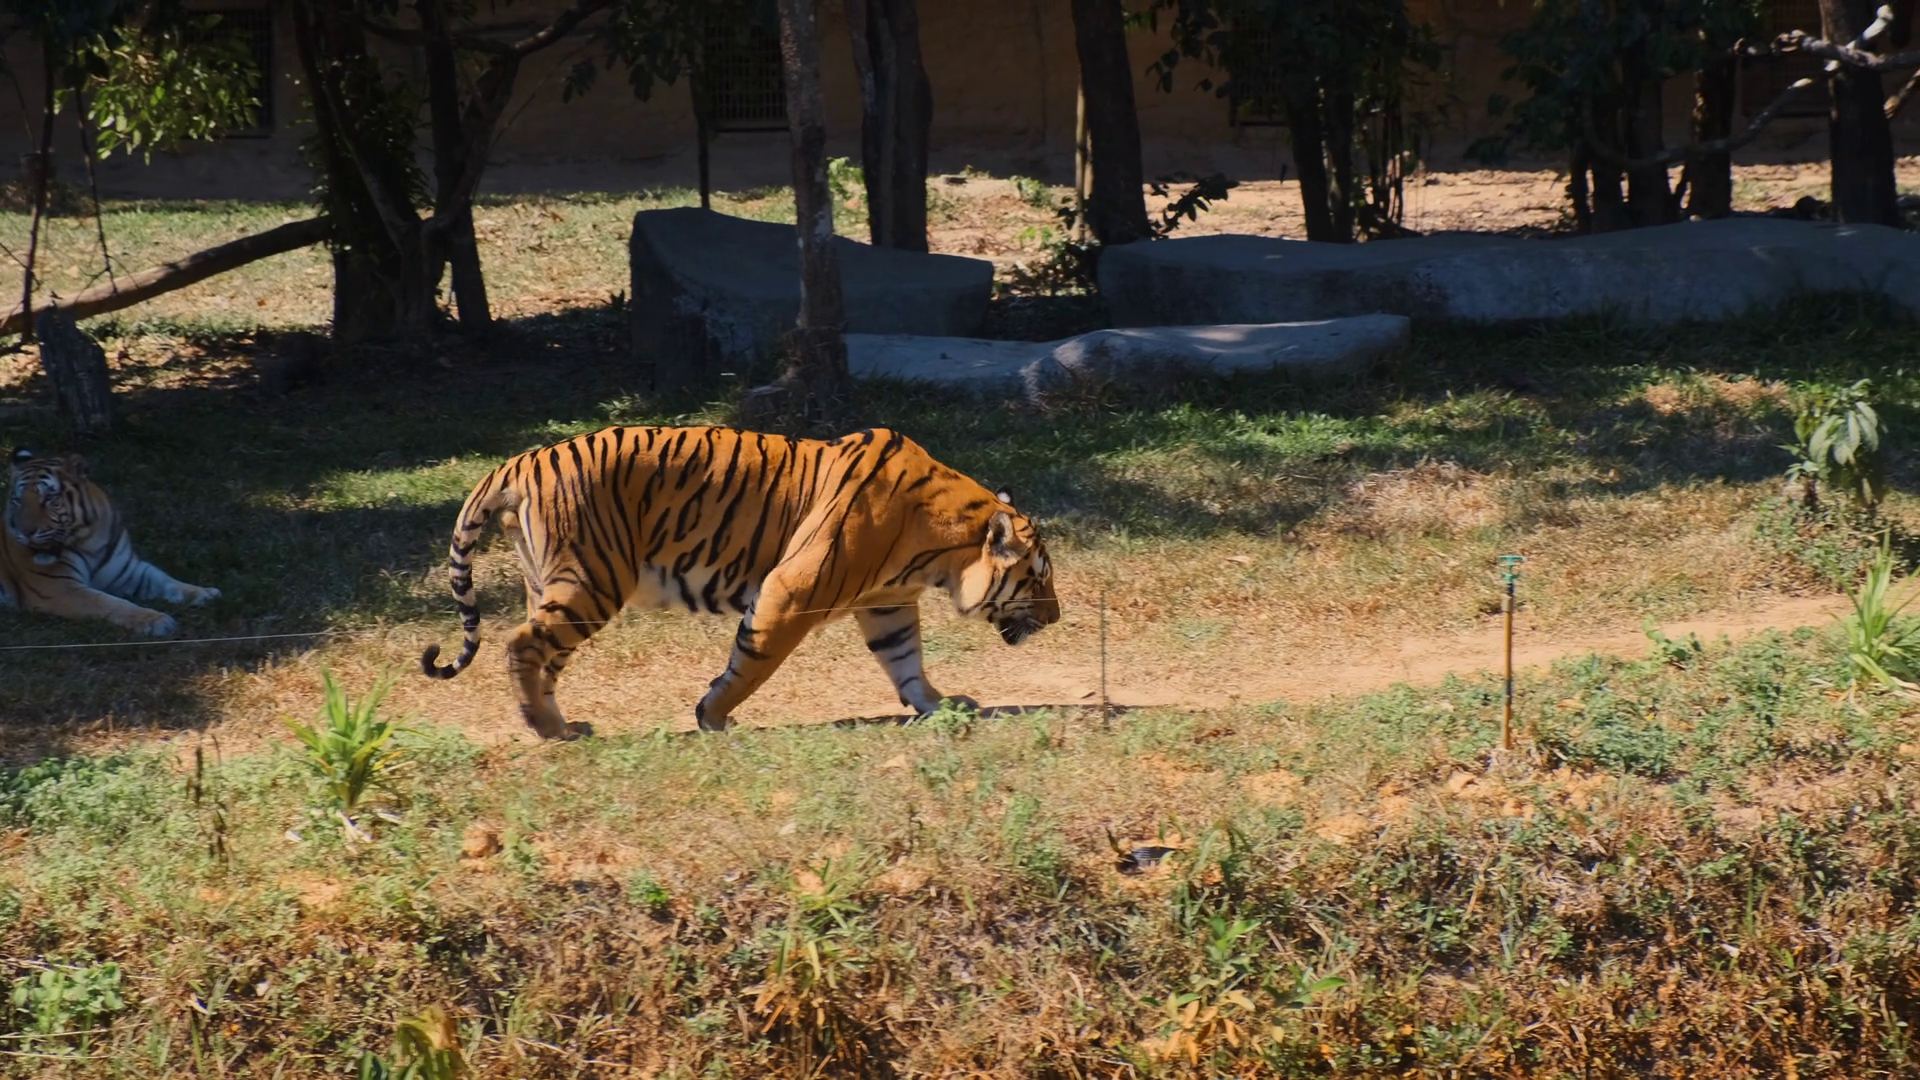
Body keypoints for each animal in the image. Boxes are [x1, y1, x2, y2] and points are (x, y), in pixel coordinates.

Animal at [2, 449, 221, 636]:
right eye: (17, 501)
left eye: (48, 498)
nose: (25, 533)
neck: (88, 540)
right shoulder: (57, 588)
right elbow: (110, 603)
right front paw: (156, 620)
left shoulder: (131, 573)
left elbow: (167, 581)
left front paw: (206, 593)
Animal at [420, 425, 1061, 739]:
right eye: (1037, 579)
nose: (1055, 618)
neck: (940, 549)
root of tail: (518, 461)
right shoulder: (791, 590)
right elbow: (753, 663)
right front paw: (713, 715)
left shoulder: (889, 605)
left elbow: (907, 663)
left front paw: (940, 705)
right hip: (591, 582)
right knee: (521, 645)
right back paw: (547, 729)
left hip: (556, 587)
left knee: (544, 657)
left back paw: (563, 724)